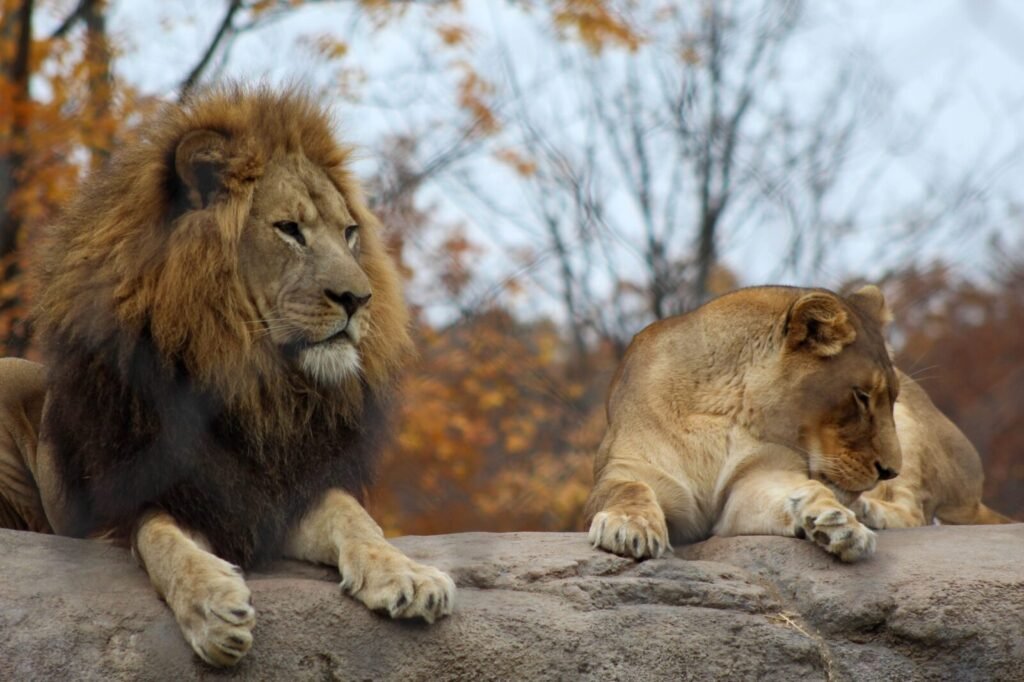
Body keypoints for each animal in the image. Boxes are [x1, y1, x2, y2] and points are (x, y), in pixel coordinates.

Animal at [0, 85, 454, 667]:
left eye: (350, 233)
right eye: (289, 230)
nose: (360, 299)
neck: (250, 384)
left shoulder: (280, 491)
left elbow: (354, 516)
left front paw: (407, 574)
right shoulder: (112, 513)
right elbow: (159, 536)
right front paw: (211, 606)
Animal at [585, 285, 1013, 563]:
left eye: (889, 399)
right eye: (861, 396)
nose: (890, 470)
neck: (724, 412)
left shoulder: (750, 482)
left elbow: (800, 490)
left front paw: (837, 522)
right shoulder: (626, 470)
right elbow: (629, 489)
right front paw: (629, 527)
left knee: (918, 511)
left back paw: (865, 510)